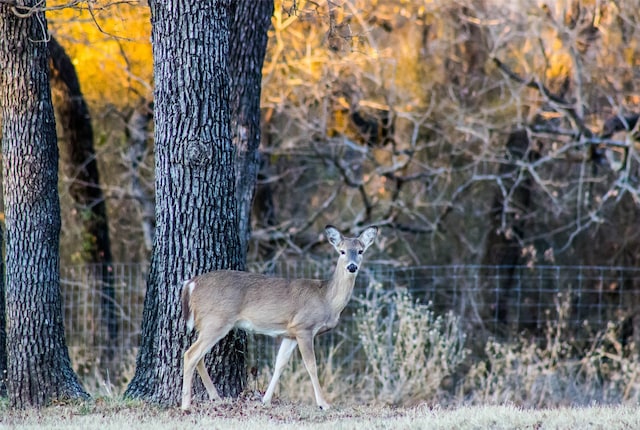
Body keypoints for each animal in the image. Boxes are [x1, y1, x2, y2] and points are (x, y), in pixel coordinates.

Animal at [180, 225, 378, 410]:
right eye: (342, 251)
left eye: (360, 251)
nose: (352, 266)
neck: (326, 299)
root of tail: (191, 283)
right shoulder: (304, 327)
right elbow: (312, 366)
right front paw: (323, 404)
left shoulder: (289, 333)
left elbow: (280, 364)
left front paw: (265, 400)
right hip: (216, 320)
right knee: (190, 354)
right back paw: (186, 405)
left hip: (209, 323)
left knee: (199, 357)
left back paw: (216, 398)